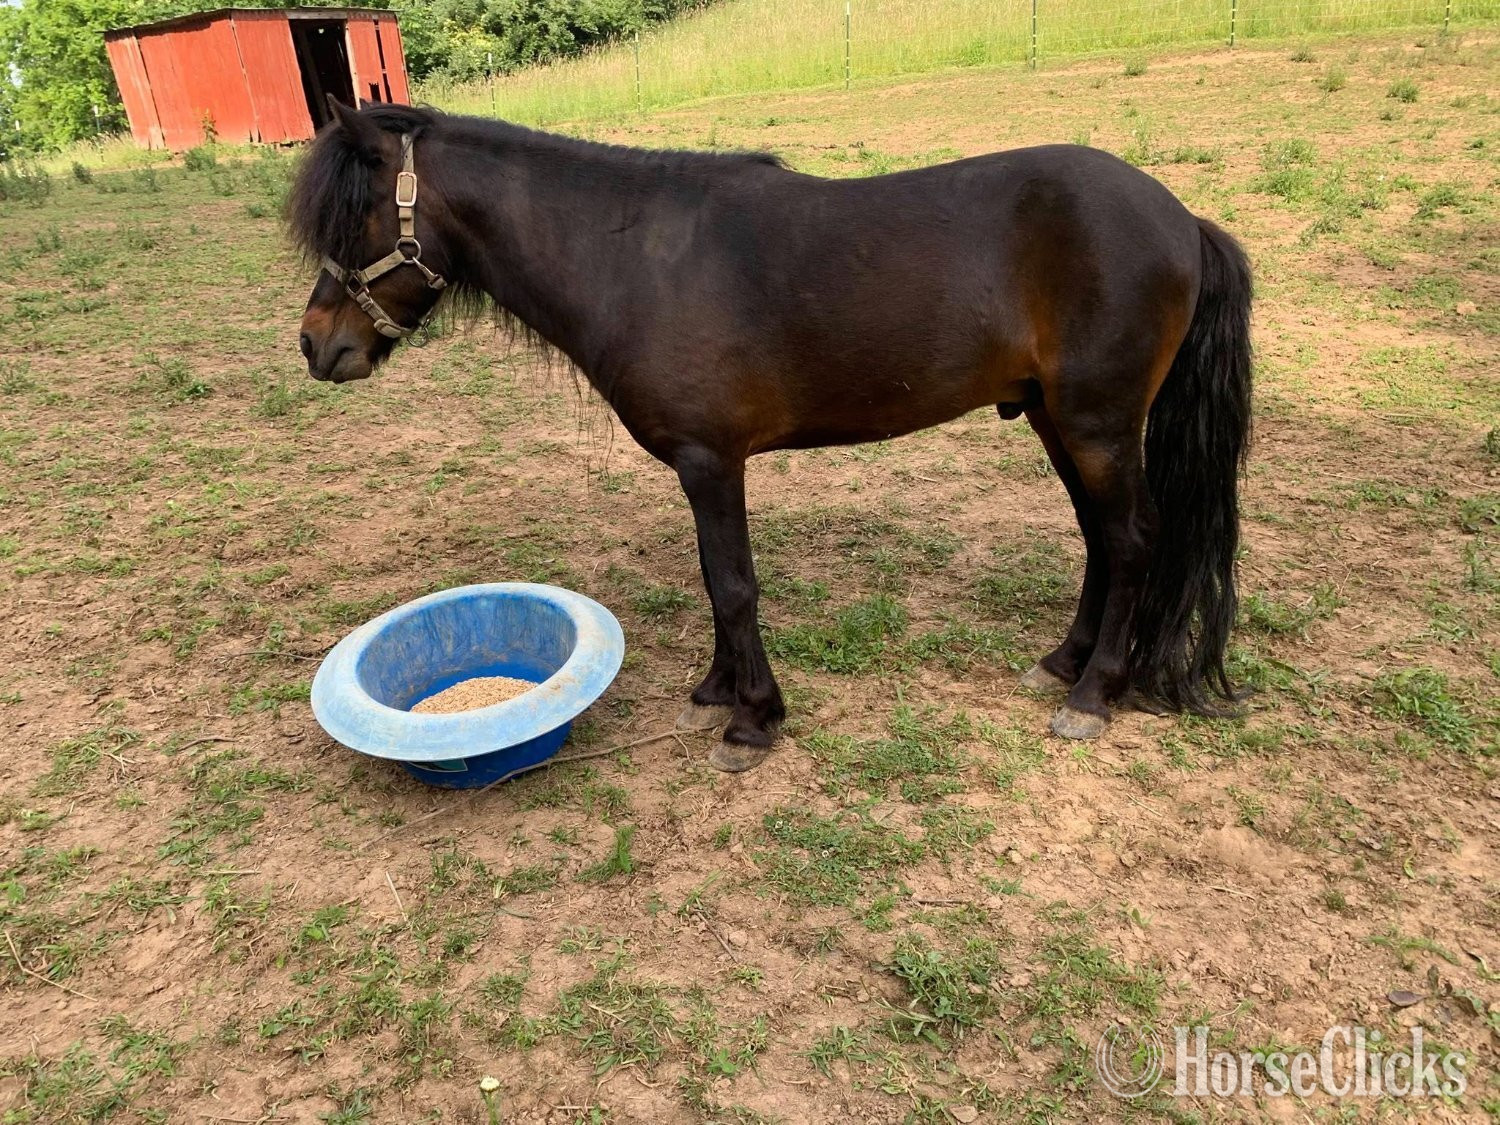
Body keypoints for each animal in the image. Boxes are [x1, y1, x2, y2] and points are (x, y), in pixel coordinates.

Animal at [289, 98, 1252, 773]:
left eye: (356, 217)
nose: (316, 344)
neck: (633, 255)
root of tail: (1180, 218)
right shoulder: (703, 468)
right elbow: (718, 584)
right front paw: (717, 693)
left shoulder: (712, 464)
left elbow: (732, 585)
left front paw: (751, 719)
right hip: (1060, 420)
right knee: (1100, 539)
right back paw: (1064, 662)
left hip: (1097, 423)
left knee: (1132, 539)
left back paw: (1093, 694)